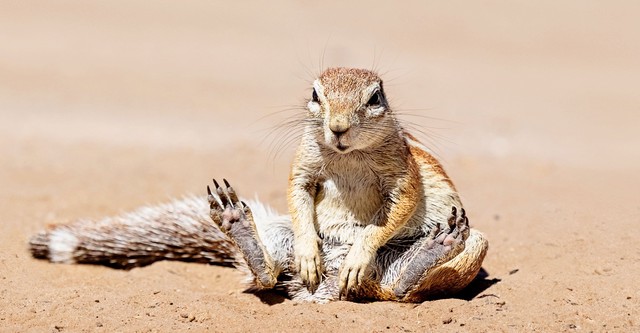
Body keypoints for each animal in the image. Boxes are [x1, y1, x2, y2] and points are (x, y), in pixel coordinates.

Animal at [30, 67, 488, 300]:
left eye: (375, 98)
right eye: (316, 94)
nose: (338, 127)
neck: (347, 155)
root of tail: (326, 289)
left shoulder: (403, 173)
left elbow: (393, 213)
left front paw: (361, 251)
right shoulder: (303, 164)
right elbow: (298, 196)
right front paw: (308, 251)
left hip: (473, 244)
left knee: (400, 292)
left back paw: (427, 253)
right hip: (277, 239)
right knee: (267, 276)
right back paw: (241, 228)